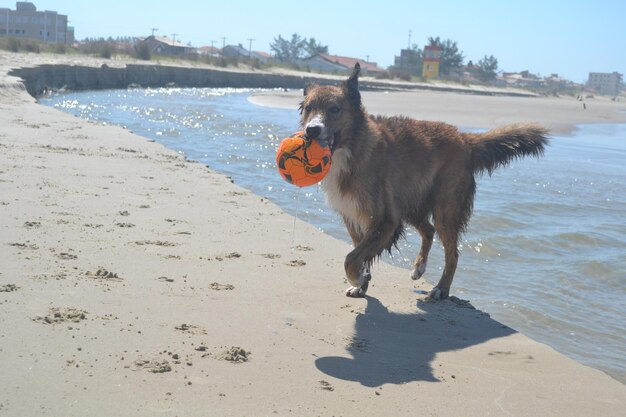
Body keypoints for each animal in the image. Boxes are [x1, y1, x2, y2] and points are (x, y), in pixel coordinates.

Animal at [300, 62, 548, 300]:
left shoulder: (386, 221)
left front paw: (359, 278)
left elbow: (351, 258)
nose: (312, 130)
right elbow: (357, 255)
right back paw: (419, 267)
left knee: (452, 252)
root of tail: (464, 139)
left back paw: (441, 289)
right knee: (428, 230)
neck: (353, 147)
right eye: (309, 108)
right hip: (411, 202)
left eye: (335, 109)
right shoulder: (352, 216)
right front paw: (362, 283)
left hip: (445, 210)